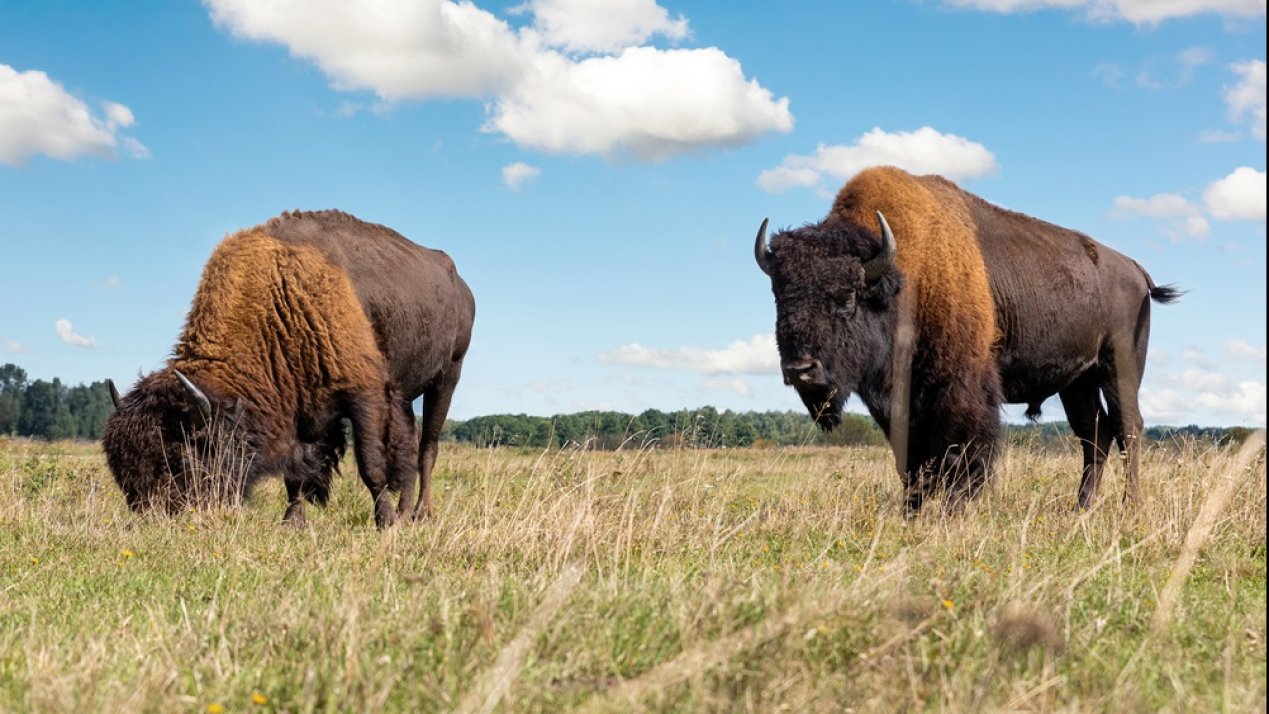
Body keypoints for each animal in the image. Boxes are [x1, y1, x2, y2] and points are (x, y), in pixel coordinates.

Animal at [755, 166, 1179, 515]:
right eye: (779, 294)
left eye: (846, 296)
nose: (800, 370)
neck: (906, 278)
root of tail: (1134, 270)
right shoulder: (898, 402)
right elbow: (911, 459)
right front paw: (913, 509)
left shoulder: (961, 389)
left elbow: (960, 451)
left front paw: (953, 508)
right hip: (1078, 382)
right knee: (1094, 435)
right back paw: (1082, 507)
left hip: (1119, 368)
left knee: (1128, 429)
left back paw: (1129, 507)